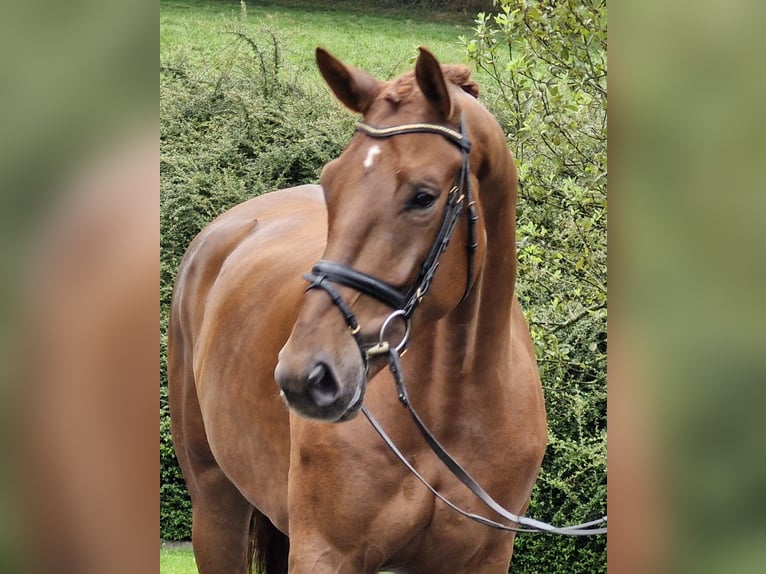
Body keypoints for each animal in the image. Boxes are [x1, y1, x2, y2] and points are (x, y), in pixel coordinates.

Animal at [170, 49, 548, 574]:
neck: (450, 404)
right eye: (331, 183)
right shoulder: (325, 554)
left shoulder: (484, 560)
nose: (306, 375)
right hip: (215, 504)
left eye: (424, 196)